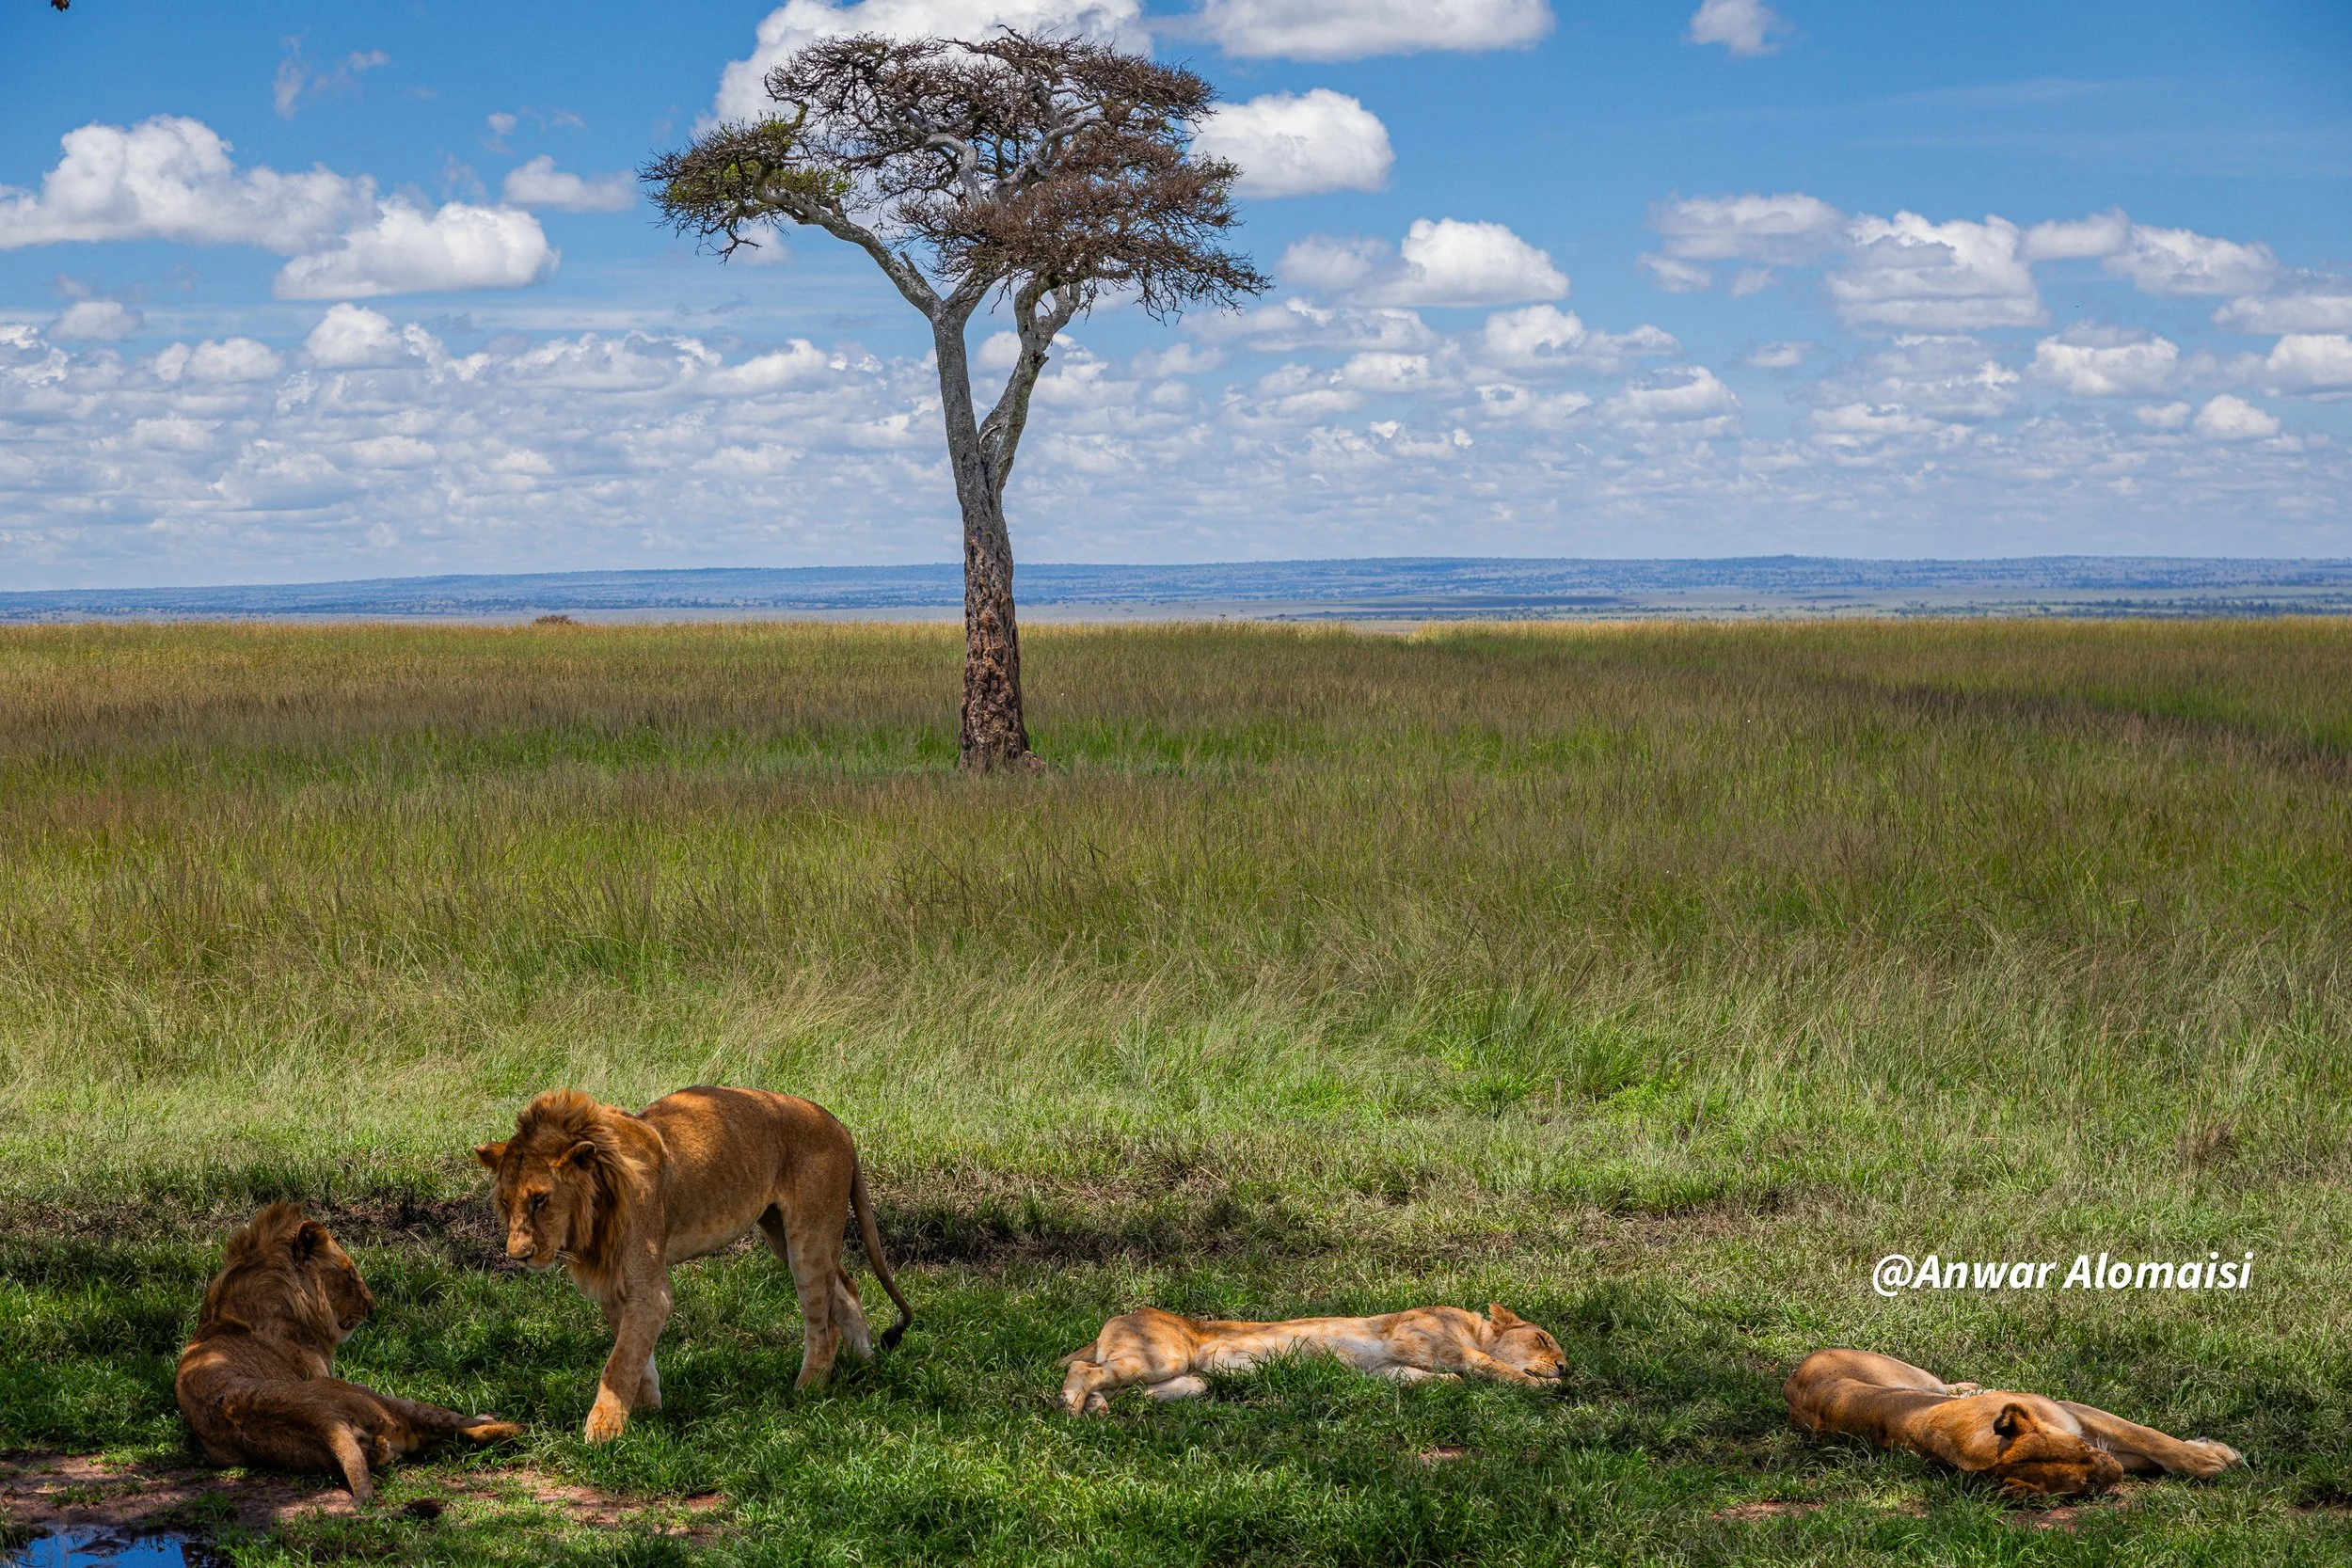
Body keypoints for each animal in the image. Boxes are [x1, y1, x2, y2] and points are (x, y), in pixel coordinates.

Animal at [175, 1204, 520, 1504]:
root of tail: (323, 1421)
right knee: (455, 1422)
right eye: (350, 1274)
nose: (372, 1307)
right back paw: (512, 1425)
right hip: (378, 1398)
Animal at [475, 1085, 912, 1443]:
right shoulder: (615, 1290)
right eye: (506, 1202)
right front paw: (648, 1412)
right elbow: (637, 1356)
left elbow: (618, 1363)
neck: (595, 1206)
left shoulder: (650, 1290)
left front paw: (603, 1429)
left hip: (809, 1234)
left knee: (823, 1324)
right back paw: (867, 1364)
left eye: (540, 1199)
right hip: (780, 1233)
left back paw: (807, 1390)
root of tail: (836, 1122)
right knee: (847, 1288)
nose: (517, 1255)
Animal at [1784, 1348, 2243, 1497]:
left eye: (2082, 1449)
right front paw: (2210, 1460)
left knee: (1944, 1383)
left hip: (1913, 1376)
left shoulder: (2071, 1412)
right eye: (2082, 1487)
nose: (2113, 1474)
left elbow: (2148, 1437)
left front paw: (2210, 1456)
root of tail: (1791, 1380)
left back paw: (1969, 1385)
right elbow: (2146, 1447)